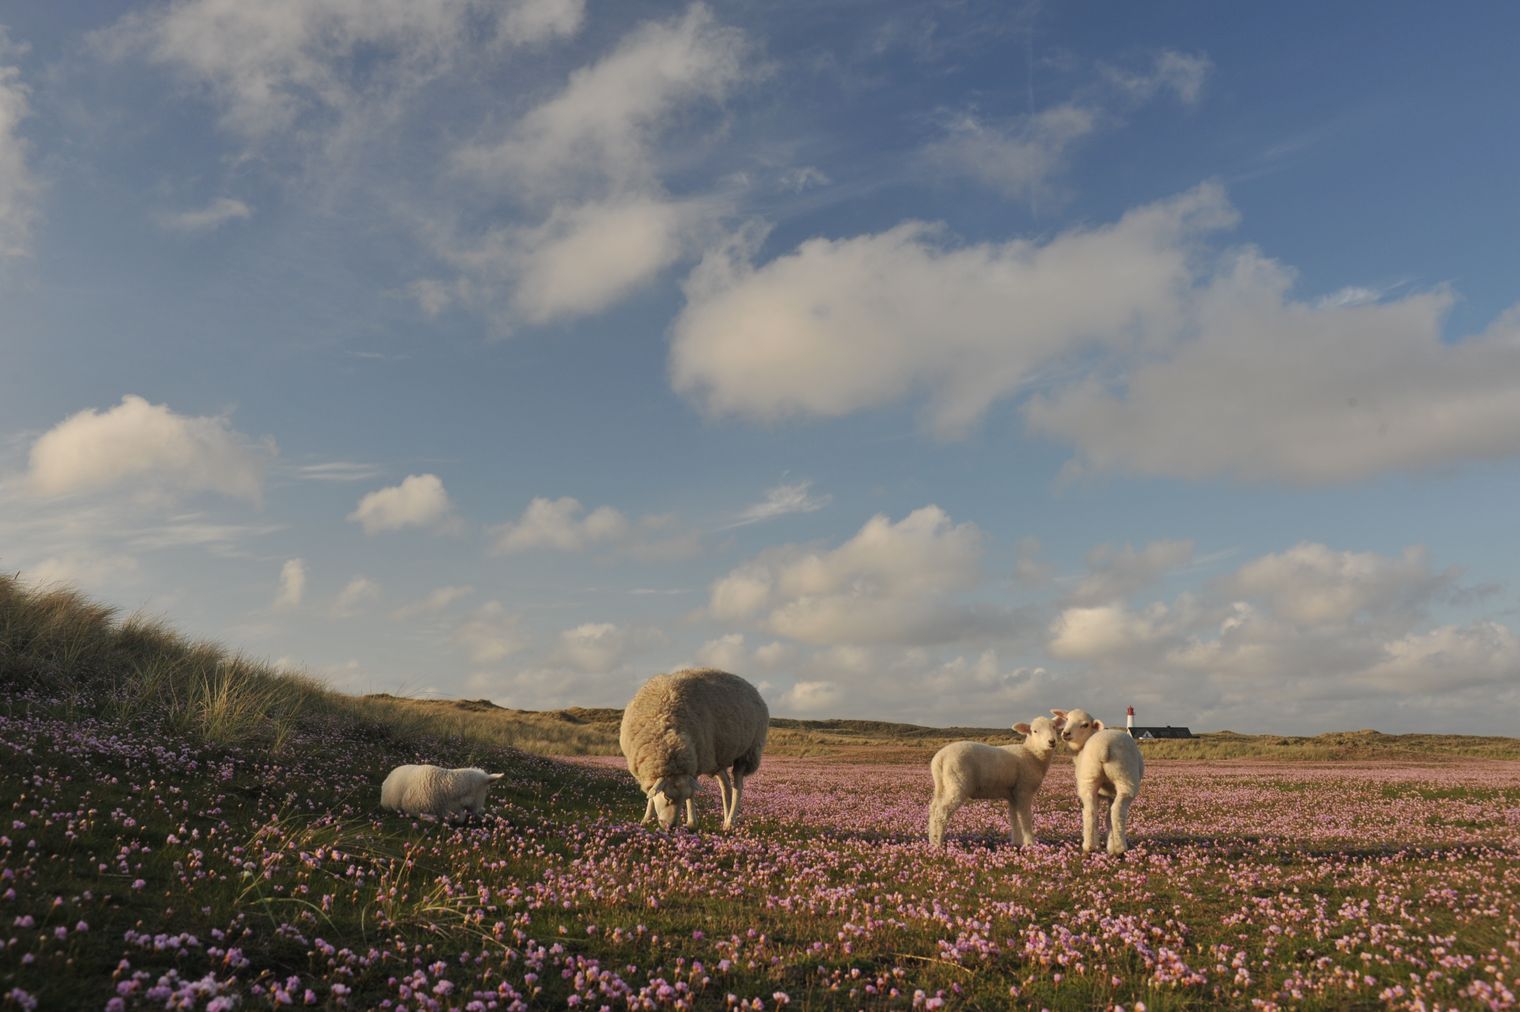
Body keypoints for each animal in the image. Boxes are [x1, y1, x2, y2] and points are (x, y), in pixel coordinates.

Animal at [619, 667, 768, 831]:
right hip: (718, 757)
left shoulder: (695, 763)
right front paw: (646, 819)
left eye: (682, 798)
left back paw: (730, 822)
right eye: (667, 797)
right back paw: (725, 818)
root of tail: (753, 689)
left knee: (738, 788)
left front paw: (691, 822)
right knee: (725, 785)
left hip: (747, 753)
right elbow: (652, 794)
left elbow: (691, 796)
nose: (671, 827)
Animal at [927, 715, 1064, 848]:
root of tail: (940, 758)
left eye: (1054, 727)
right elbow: (1025, 817)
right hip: (957, 782)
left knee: (934, 809)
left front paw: (1017, 843)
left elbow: (1015, 818)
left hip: (943, 785)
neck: (1032, 755)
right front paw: (1030, 843)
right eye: (1035, 731)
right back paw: (938, 844)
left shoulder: (1013, 794)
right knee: (941, 812)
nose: (1052, 741)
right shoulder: (1024, 789)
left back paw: (932, 840)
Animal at [1051, 708, 1144, 855]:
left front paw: (1108, 846)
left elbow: (1105, 818)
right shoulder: (1109, 794)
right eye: (1067, 719)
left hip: (1090, 779)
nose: (1065, 733)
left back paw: (1090, 847)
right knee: (1116, 811)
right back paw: (1119, 848)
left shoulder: (1106, 794)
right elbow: (1107, 818)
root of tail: (1104, 746)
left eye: (1085, 725)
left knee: (1090, 812)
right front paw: (1110, 846)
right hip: (1126, 779)